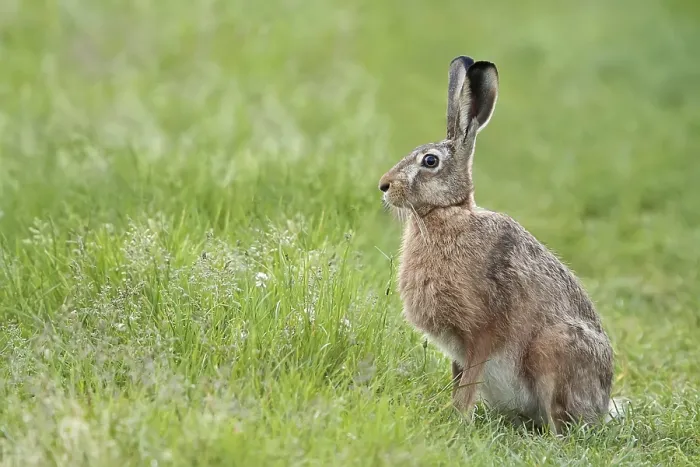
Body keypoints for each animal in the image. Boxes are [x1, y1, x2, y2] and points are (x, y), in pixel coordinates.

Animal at [378, 55, 627, 434]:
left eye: (430, 161)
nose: (384, 185)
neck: (450, 213)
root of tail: (600, 406)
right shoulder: (457, 349)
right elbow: (458, 379)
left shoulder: (482, 330)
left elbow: (469, 383)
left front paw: (457, 420)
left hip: (553, 348)